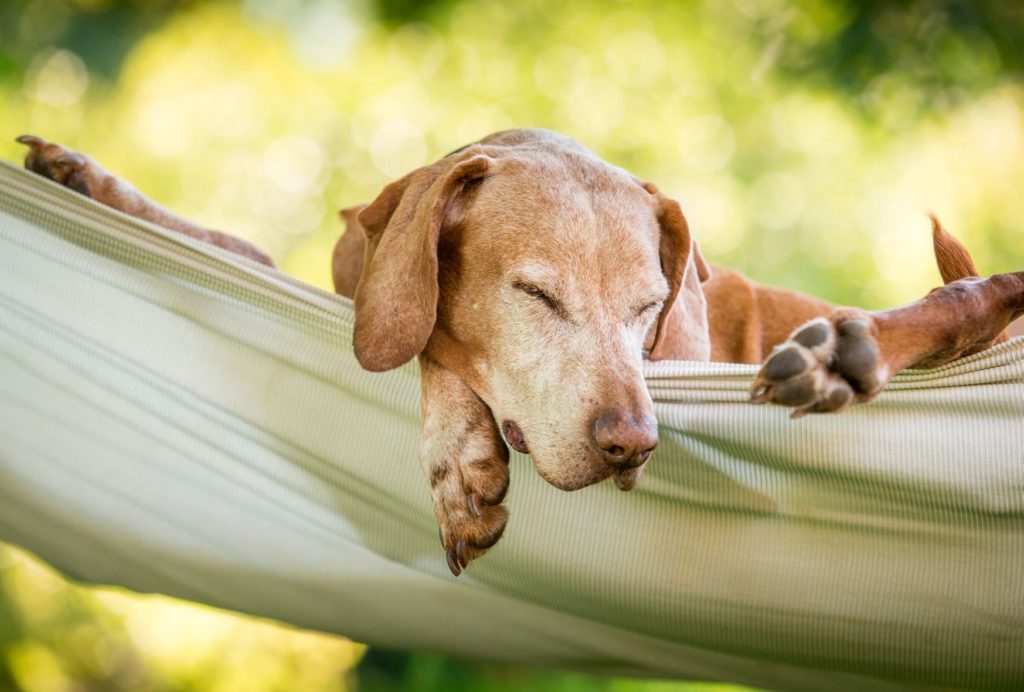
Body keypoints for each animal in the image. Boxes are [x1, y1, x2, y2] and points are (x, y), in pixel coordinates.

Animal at [18, 130, 1024, 573]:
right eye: (536, 296)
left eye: (648, 310)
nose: (631, 444)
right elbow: (253, 254)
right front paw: (90, 179)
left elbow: (438, 355)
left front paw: (463, 460)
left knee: (968, 296)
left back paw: (847, 350)